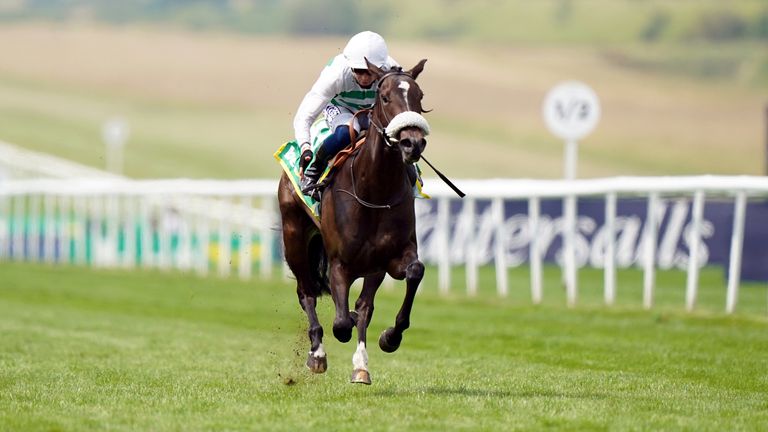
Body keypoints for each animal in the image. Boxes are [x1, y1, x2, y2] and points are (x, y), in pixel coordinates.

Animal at [278, 58, 432, 384]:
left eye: (419, 96)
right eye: (385, 97)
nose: (412, 143)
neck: (374, 190)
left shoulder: (389, 258)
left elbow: (412, 273)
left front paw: (389, 338)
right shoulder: (340, 262)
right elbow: (340, 323)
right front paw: (333, 338)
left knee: (363, 306)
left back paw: (361, 363)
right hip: (293, 235)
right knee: (307, 294)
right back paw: (317, 353)